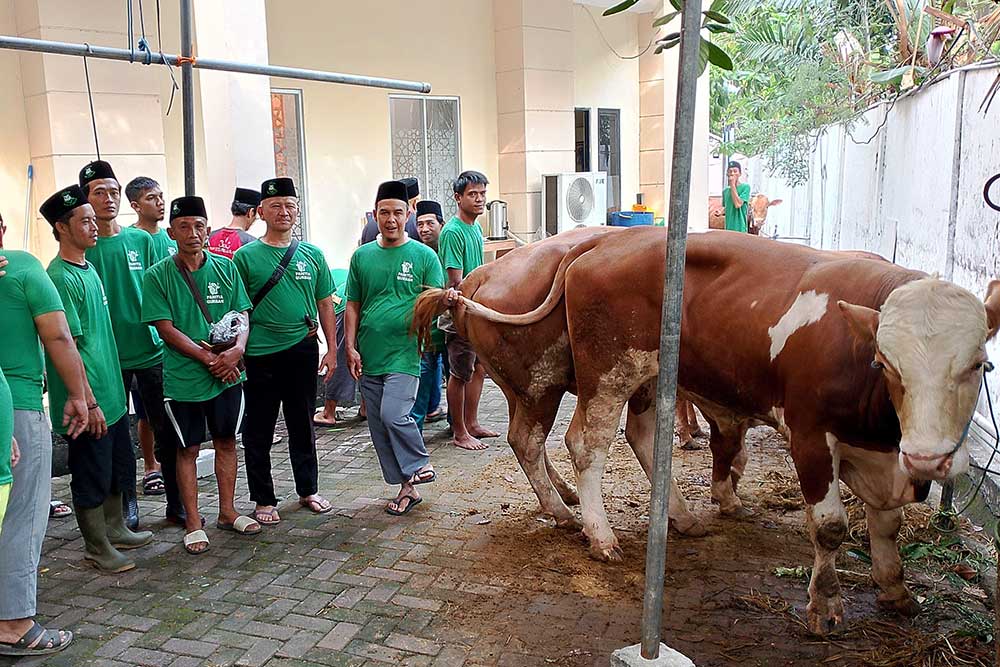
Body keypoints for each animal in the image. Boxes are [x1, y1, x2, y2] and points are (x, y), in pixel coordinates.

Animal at [448, 230, 1000, 636]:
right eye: (886, 363)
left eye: (980, 364)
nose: (930, 457)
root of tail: (608, 240)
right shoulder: (810, 436)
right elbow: (831, 527)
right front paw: (825, 606)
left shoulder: (885, 457)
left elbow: (887, 525)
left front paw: (895, 590)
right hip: (598, 375)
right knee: (576, 443)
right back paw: (596, 532)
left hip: (646, 375)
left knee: (639, 438)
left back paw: (677, 516)